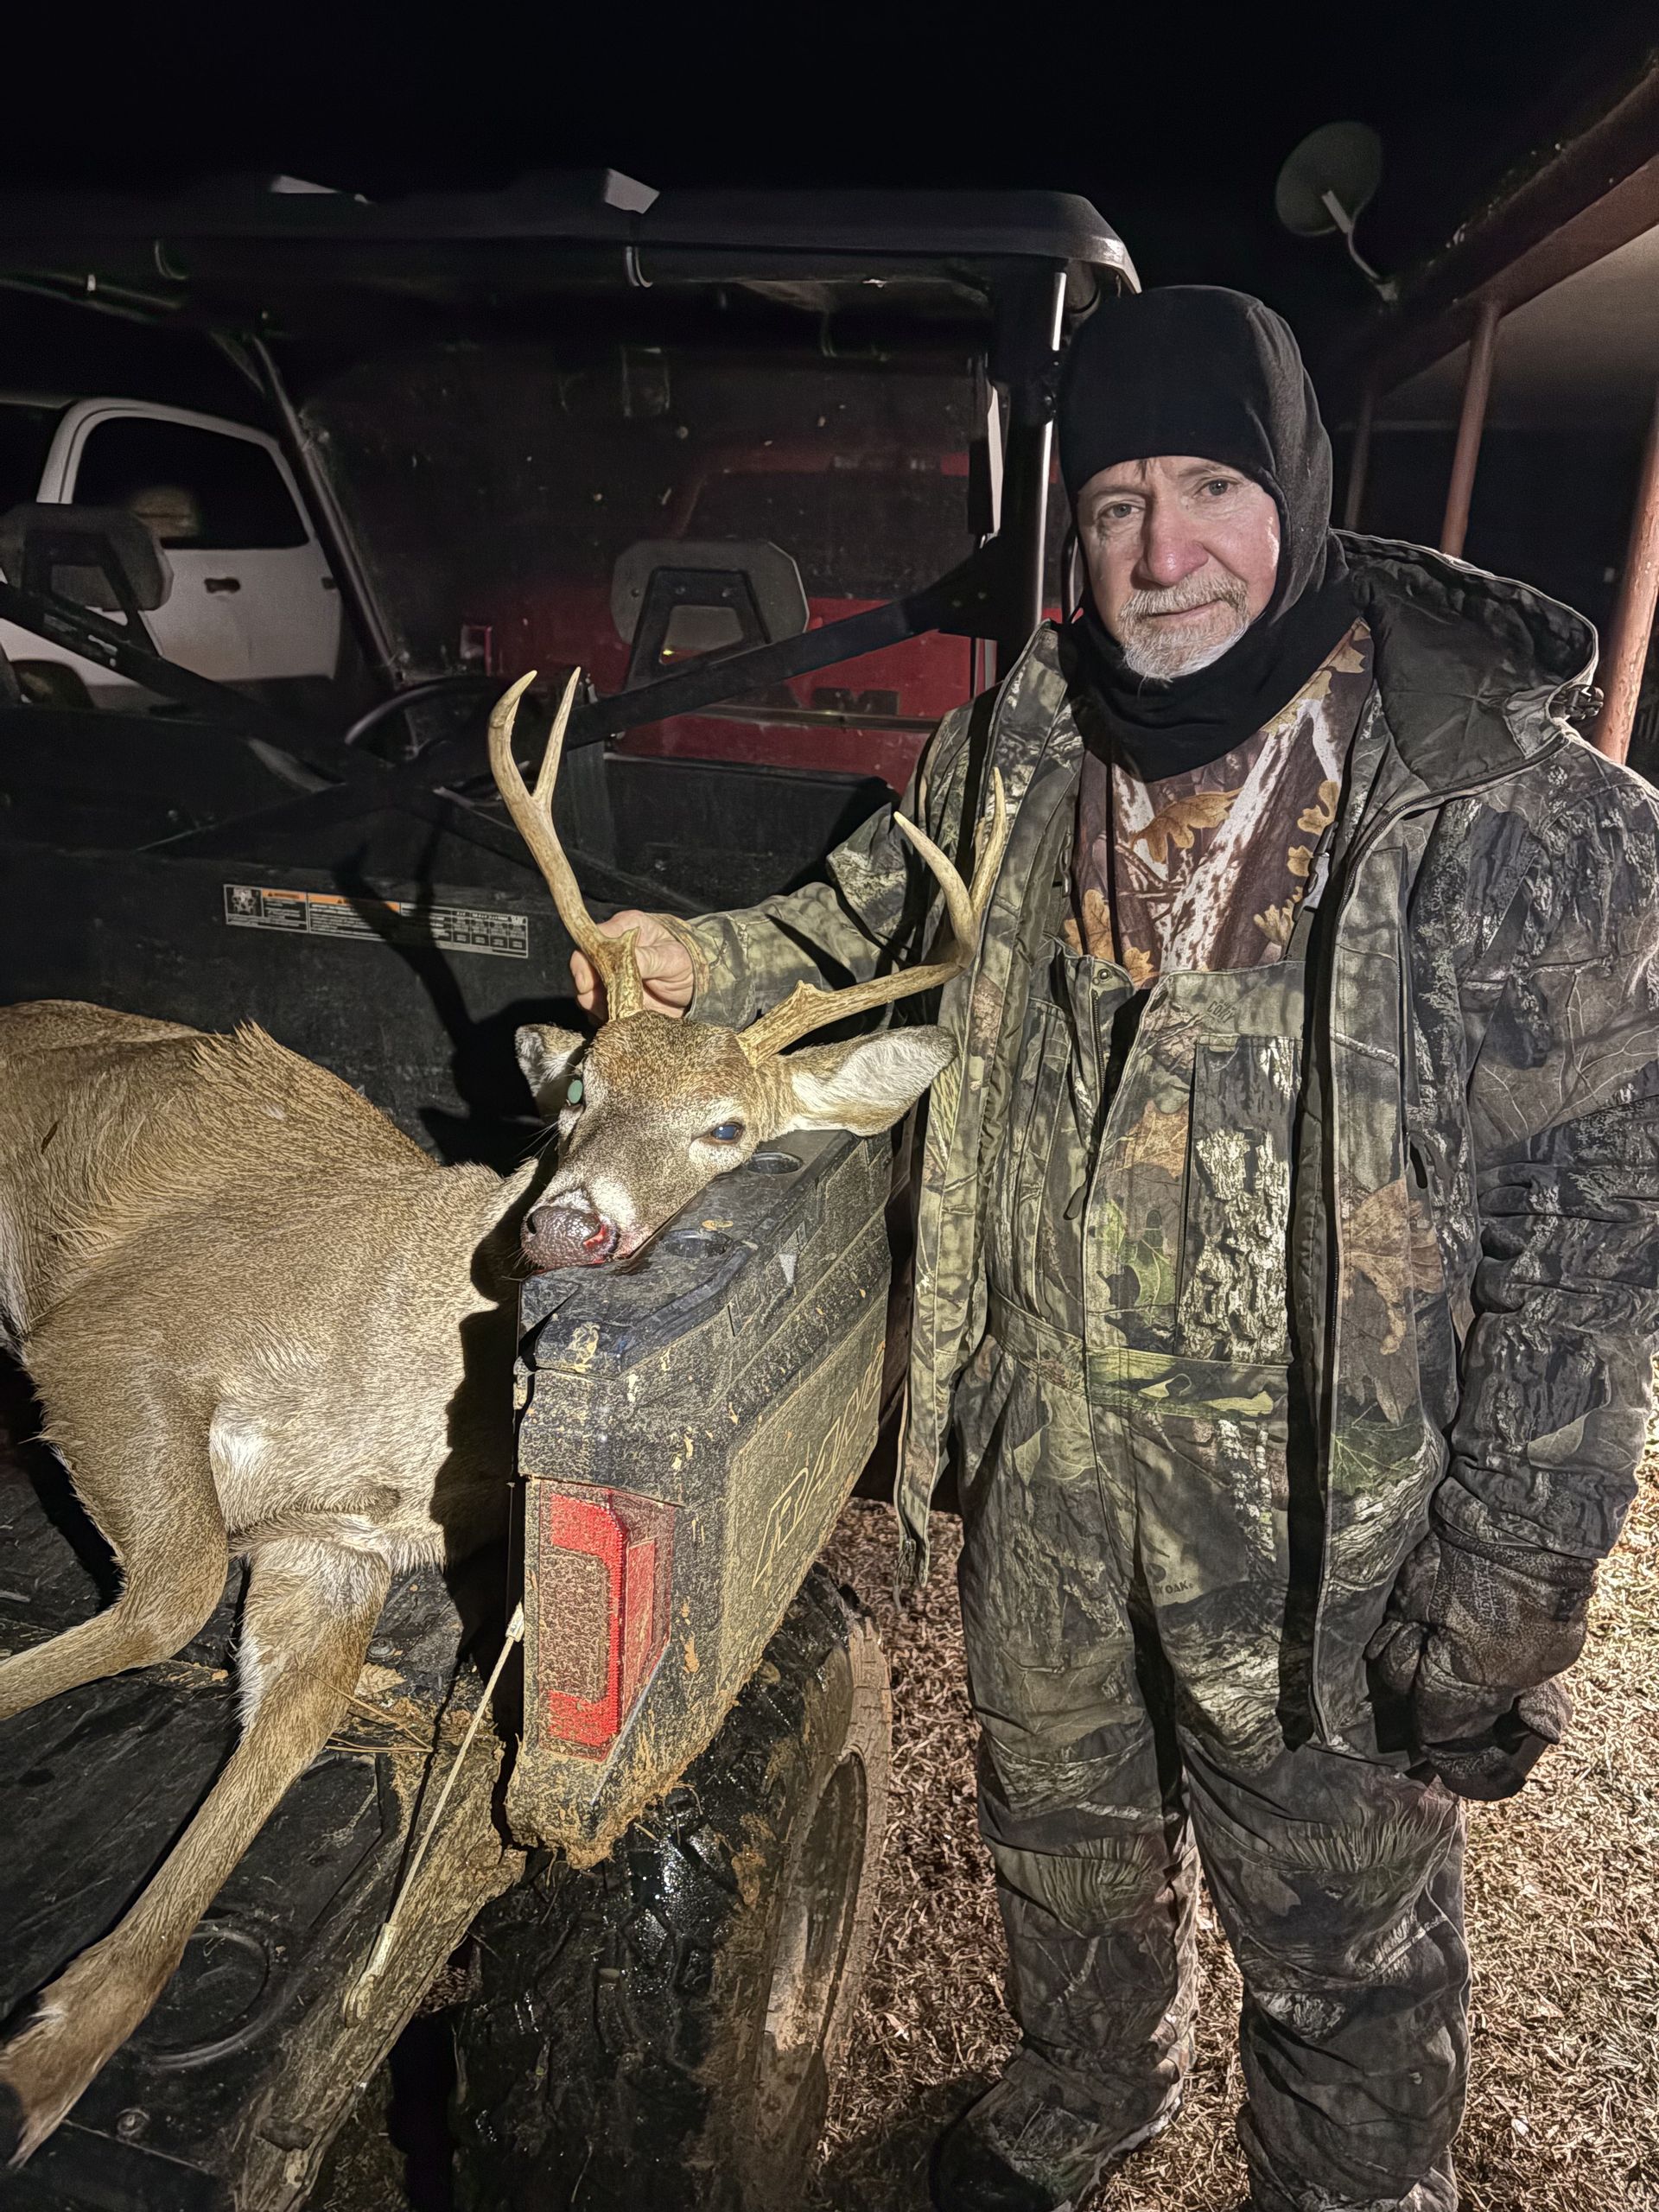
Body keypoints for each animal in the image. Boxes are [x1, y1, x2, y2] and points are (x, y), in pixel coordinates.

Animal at [0, 667, 1009, 2161]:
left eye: (728, 1130)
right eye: (581, 1088)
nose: (571, 1225)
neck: (392, 1406)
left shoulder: (329, 1547)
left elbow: (272, 1710)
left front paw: (41, 2060)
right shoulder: (111, 1338)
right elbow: (167, 1598)